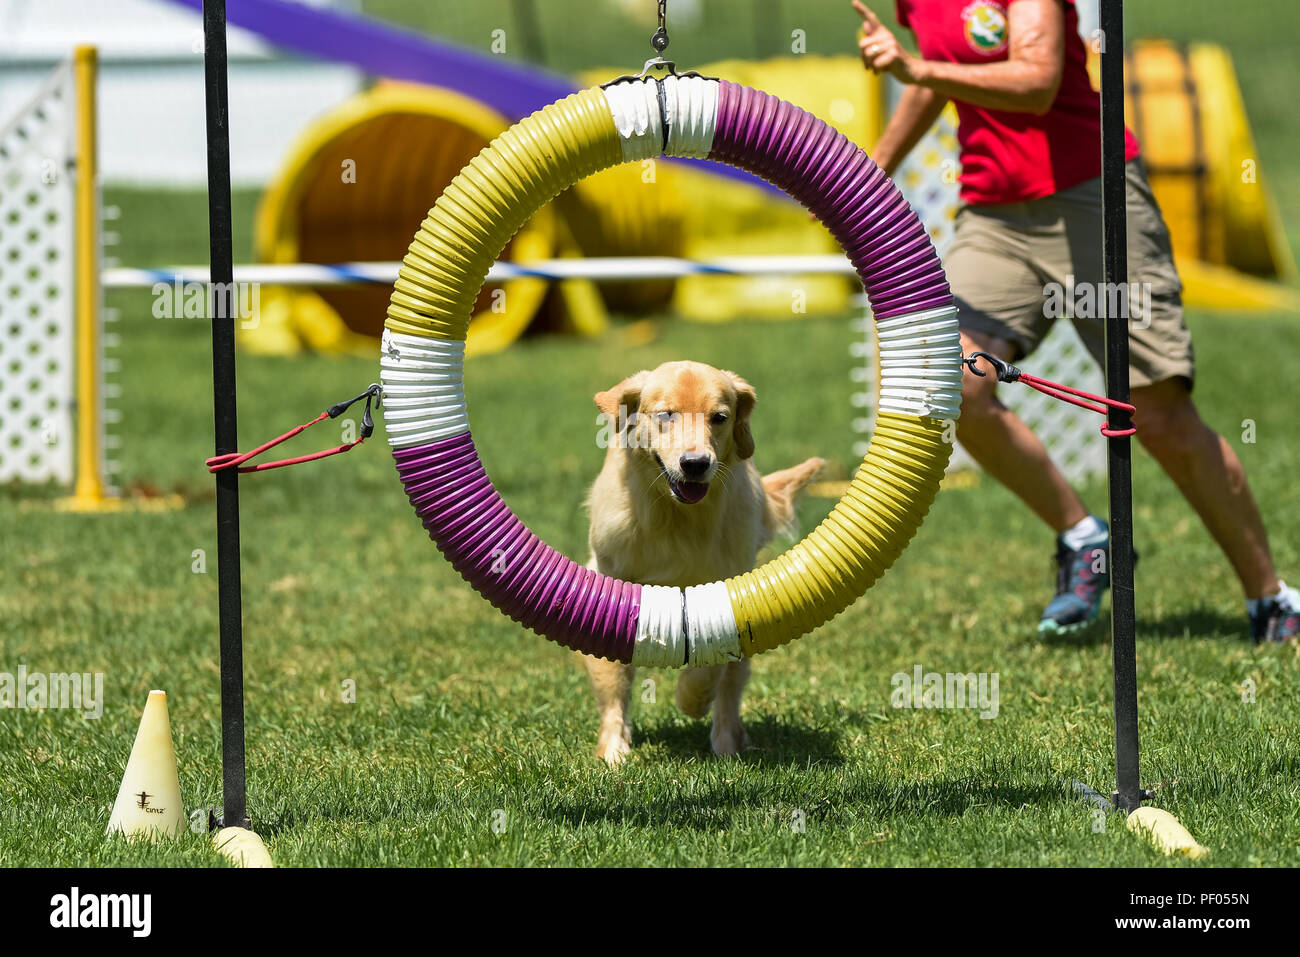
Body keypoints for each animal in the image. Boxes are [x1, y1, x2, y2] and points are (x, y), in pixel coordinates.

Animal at [582, 358, 821, 764]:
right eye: (666, 415)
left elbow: (712, 662)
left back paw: (727, 744)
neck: (675, 516)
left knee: (729, 692)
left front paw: (691, 699)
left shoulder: (726, 589)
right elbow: (614, 678)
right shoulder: (610, 576)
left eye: (719, 417)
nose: (695, 464)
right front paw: (614, 748)